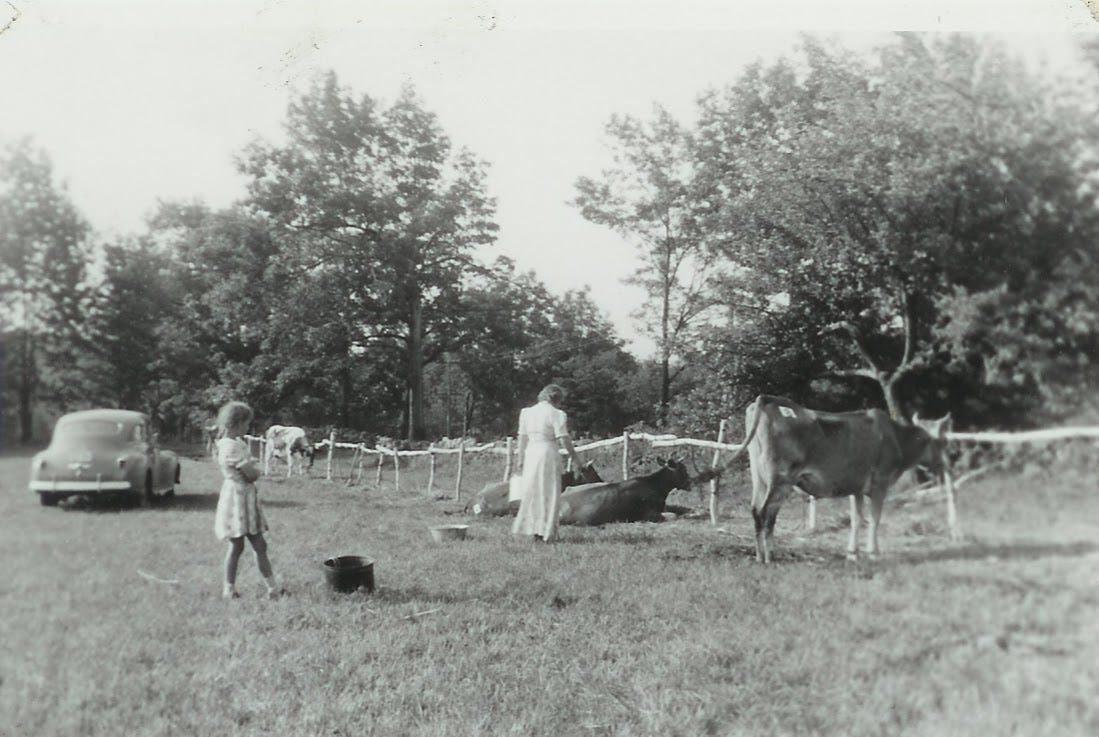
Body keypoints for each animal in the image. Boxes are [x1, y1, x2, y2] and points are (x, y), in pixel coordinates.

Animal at [738, 395, 953, 562]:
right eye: (942, 441)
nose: (945, 464)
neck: (896, 438)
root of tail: (767, 402)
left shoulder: (855, 487)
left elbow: (856, 519)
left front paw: (852, 553)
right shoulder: (880, 483)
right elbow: (875, 519)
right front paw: (873, 552)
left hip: (759, 478)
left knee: (756, 510)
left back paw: (759, 556)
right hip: (780, 479)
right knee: (766, 513)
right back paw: (769, 557)